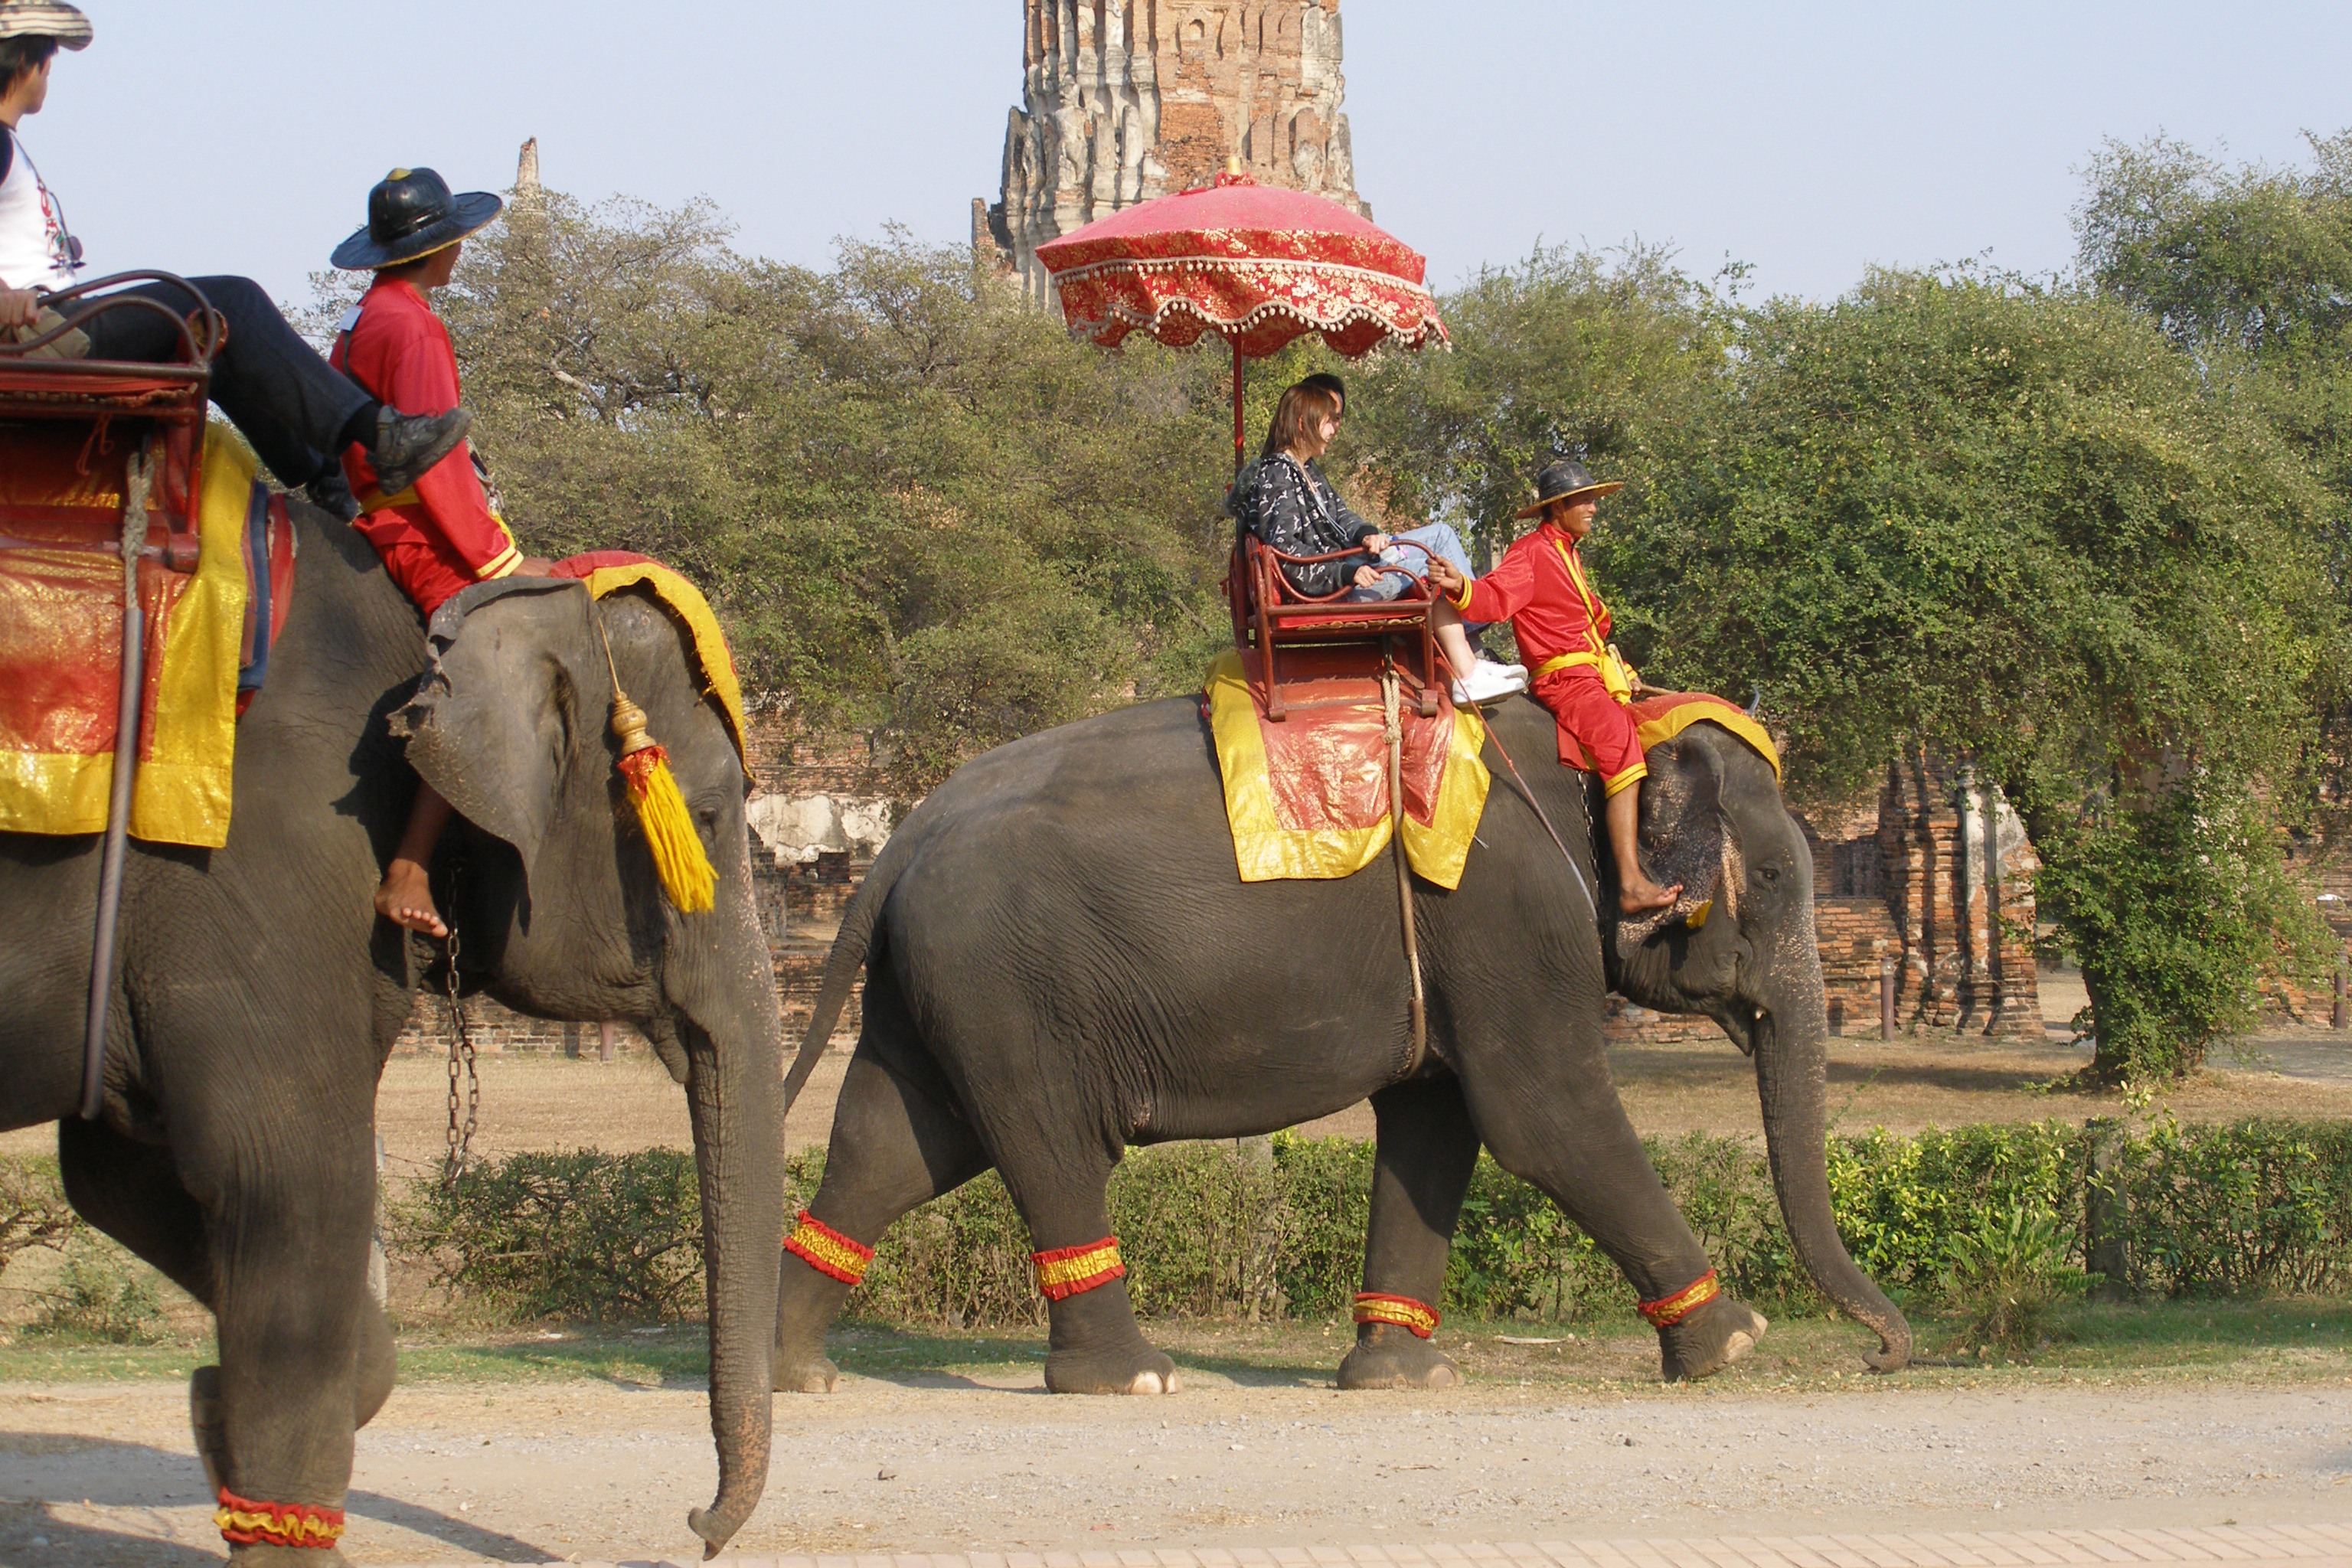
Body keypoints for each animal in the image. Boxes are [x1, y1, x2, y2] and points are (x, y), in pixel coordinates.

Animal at [0, 512, 790, 1560]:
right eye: (703, 817)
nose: (698, 1524)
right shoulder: (267, 866)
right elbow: (284, 1175)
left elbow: (121, 1174)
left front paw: (212, 1411)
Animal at [776, 691, 1909, 1391]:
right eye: (1775, 877)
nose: (1884, 1354)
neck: (1596, 740)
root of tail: (906, 834)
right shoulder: (1508, 915)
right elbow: (1545, 1119)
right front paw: (1733, 1346)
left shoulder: (1459, 946)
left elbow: (1439, 1123)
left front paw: (1404, 1377)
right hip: (1012, 984)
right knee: (1050, 1148)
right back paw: (1132, 1378)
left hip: (943, 989)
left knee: (898, 1145)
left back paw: (797, 1371)